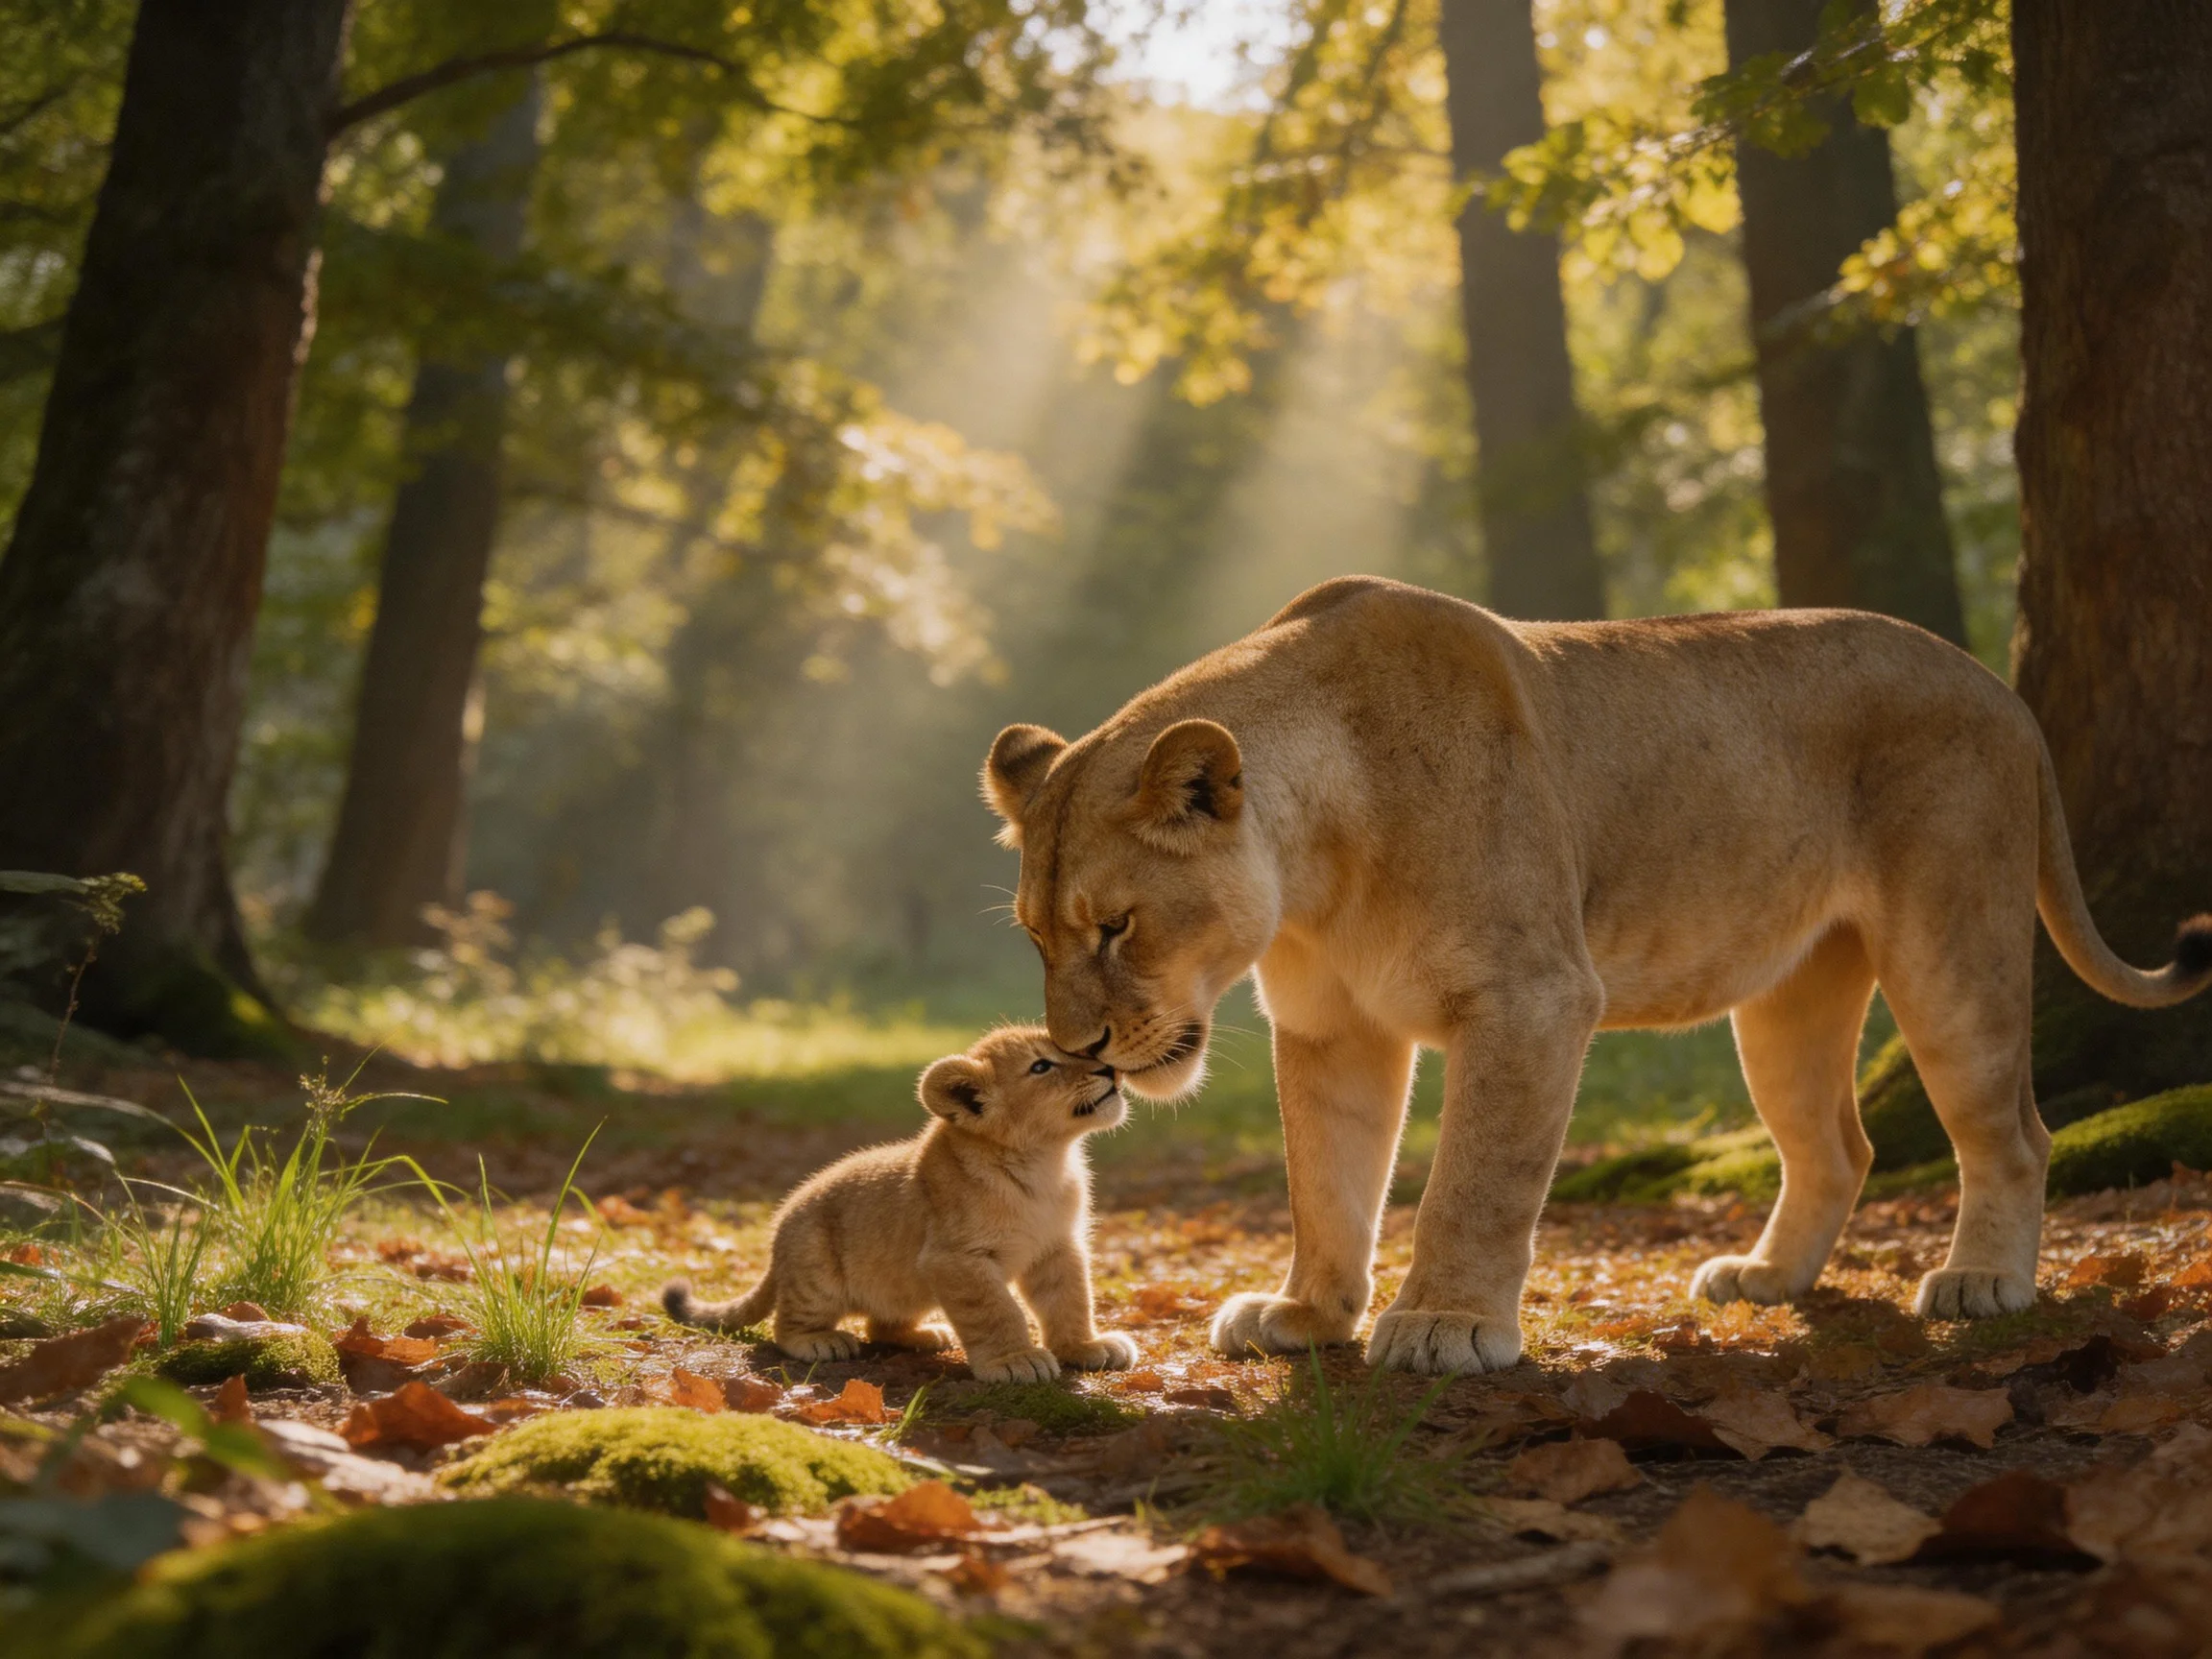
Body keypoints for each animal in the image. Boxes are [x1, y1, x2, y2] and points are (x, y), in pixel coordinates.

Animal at [662, 1025, 1140, 1383]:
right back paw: (820, 1341)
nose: (1110, 1068)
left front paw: (1085, 1347)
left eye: (1076, 1051)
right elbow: (996, 1311)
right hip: (816, 1269)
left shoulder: (1057, 1246)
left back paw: (928, 1335)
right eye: (1041, 1066)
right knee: (786, 1323)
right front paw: (1014, 1360)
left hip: (906, 1284)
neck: (1045, 1163)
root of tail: (778, 1238)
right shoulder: (955, 1258)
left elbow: (1070, 1300)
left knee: (881, 1323)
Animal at [981, 575, 2211, 1375]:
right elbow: (1327, 1184)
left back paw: (1983, 1283)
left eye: (1117, 926)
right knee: (1838, 1146)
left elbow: (1475, 1180)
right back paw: (1767, 1281)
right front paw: (1307, 1317)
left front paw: (1445, 1327)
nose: (1079, 1052)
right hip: (1789, 997)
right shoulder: (1332, 1028)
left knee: (2015, 1130)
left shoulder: (1533, 998)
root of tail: (2001, 689)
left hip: (1951, 944)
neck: (1315, 872)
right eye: (1036, 937)